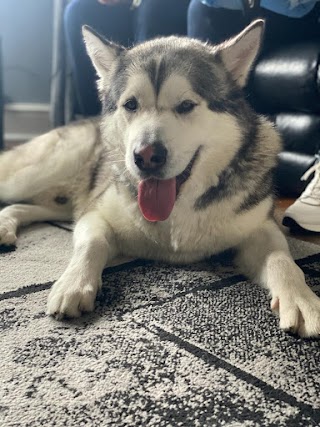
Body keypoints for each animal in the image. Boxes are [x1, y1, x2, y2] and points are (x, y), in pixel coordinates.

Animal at [0, 20, 320, 338]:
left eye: (186, 105)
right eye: (130, 105)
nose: (146, 156)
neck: (177, 208)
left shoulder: (259, 228)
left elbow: (283, 259)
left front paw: (302, 298)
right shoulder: (94, 212)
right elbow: (93, 242)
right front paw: (74, 283)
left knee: (29, 206)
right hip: (38, 173)